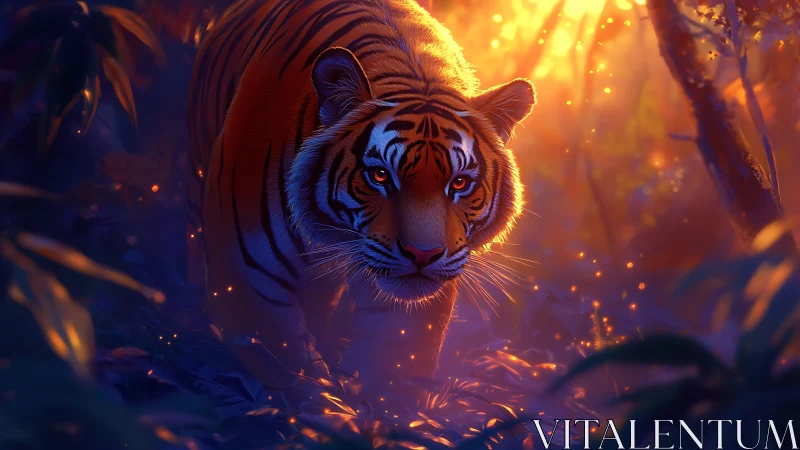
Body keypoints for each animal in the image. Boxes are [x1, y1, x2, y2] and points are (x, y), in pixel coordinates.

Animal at [186, 0, 535, 396]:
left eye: (459, 183)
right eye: (380, 175)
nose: (424, 255)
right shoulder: (249, 273)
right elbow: (290, 368)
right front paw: (320, 404)